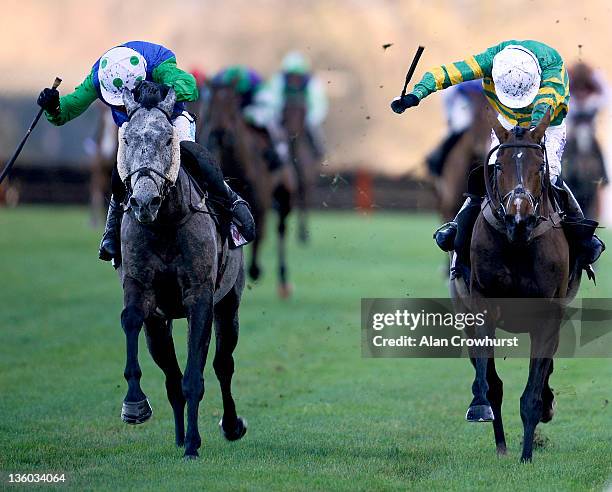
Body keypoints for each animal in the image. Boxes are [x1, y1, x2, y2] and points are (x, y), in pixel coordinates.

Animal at [115, 86, 246, 460]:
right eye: (127, 139)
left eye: (168, 138)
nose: (144, 201)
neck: (165, 224)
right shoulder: (140, 288)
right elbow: (131, 318)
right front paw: (134, 405)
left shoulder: (199, 296)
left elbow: (195, 376)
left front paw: (192, 445)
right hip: (160, 324)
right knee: (171, 377)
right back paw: (177, 434)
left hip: (229, 303)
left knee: (222, 365)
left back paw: (229, 426)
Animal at [450, 110, 584, 462]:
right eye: (499, 166)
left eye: (540, 166)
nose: (518, 217)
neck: (518, 242)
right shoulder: (481, 307)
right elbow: (490, 381)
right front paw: (484, 415)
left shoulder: (548, 318)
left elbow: (533, 392)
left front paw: (527, 455)